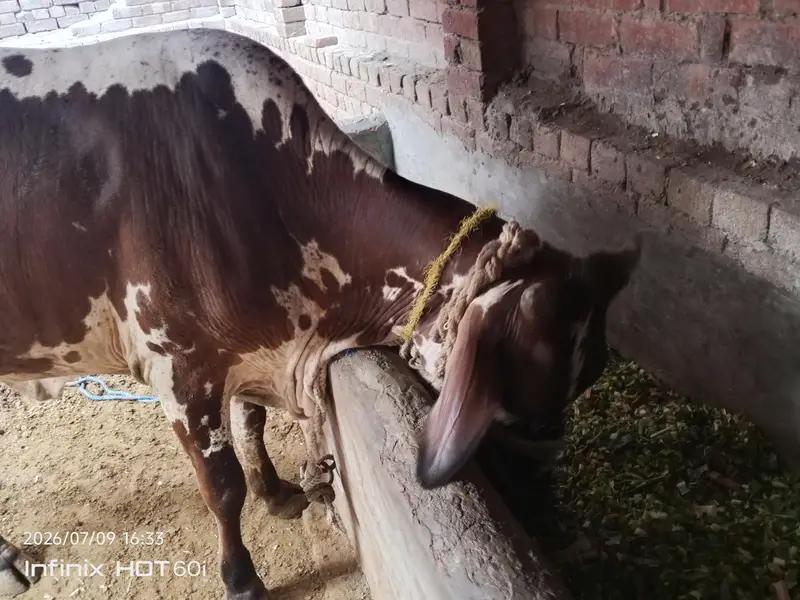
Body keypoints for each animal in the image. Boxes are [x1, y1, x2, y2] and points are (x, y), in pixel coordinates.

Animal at [0, 28, 640, 599]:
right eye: (515, 417)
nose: (552, 529)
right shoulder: (179, 369)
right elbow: (222, 487)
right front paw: (241, 579)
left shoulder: (250, 351)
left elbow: (251, 423)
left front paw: (277, 492)